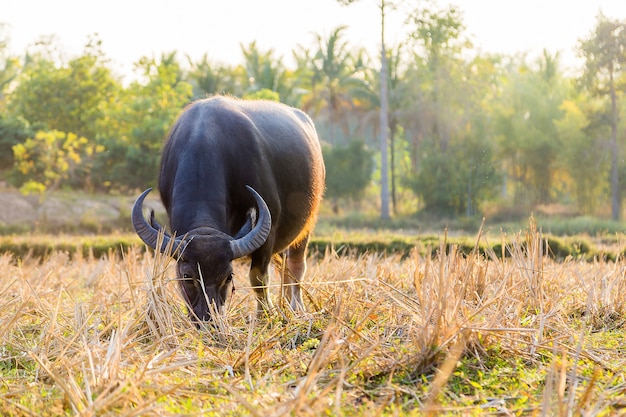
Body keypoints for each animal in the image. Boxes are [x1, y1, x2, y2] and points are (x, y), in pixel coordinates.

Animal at [133, 96, 326, 320]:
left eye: (228, 276)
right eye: (187, 276)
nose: (208, 319)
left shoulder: (268, 230)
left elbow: (258, 278)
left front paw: (263, 316)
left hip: (307, 226)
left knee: (296, 265)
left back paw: (296, 308)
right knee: (284, 265)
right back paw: (284, 304)